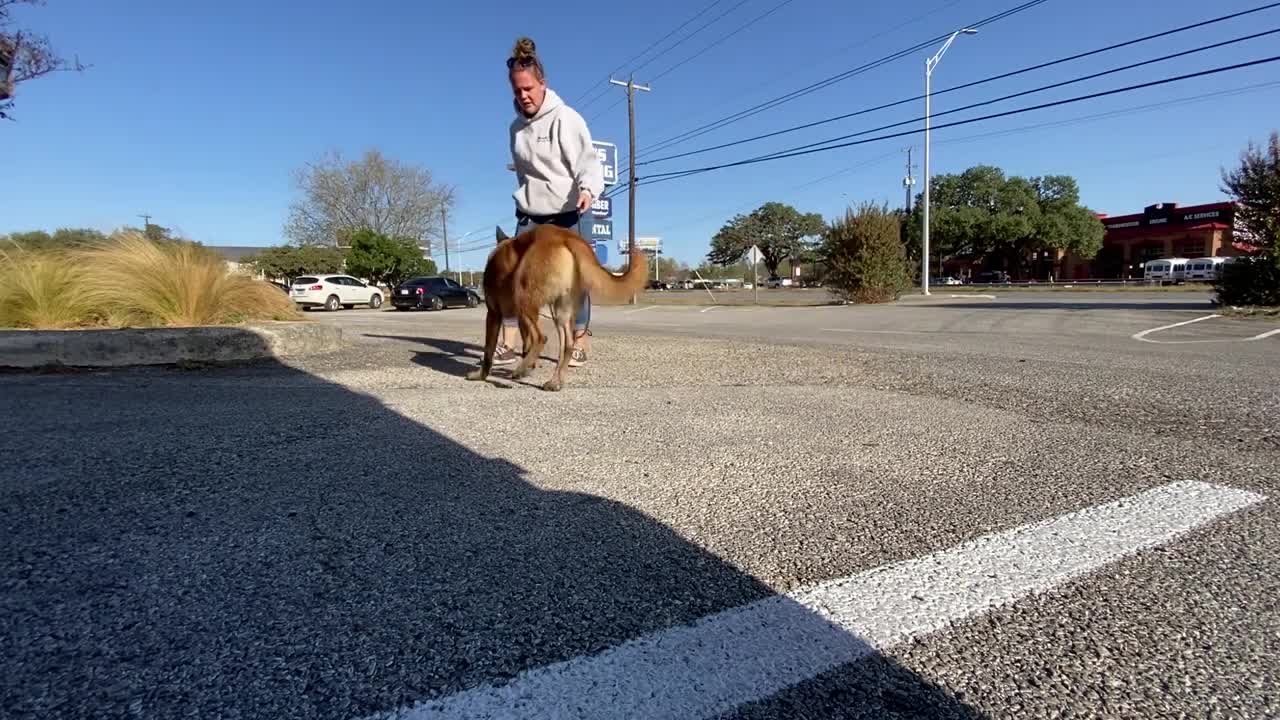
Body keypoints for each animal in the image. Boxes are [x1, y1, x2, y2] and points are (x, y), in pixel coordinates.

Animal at [465, 225, 645, 389]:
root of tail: (563, 235)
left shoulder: (493, 314)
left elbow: (489, 351)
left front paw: (481, 375)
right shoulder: (523, 318)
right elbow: (525, 345)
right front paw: (530, 366)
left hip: (523, 298)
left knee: (541, 338)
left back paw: (520, 370)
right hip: (559, 311)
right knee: (567, 344)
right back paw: (555, 381)